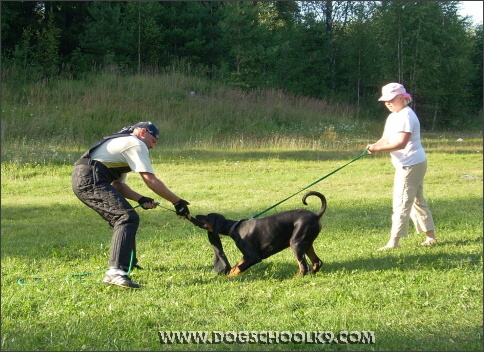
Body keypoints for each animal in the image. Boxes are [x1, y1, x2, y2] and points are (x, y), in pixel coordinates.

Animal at [195, 191, 328, 276]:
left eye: (207, 216)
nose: (196, 215)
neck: (233, 227)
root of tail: (316, 215)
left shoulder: (254, 257)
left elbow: (239, 268)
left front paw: (228, 278)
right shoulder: (246, 256)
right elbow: (237, 265)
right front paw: (230, 272)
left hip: (296, 243)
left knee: (304, 267)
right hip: (307, 244)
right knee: (317, 262)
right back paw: (312, 274)